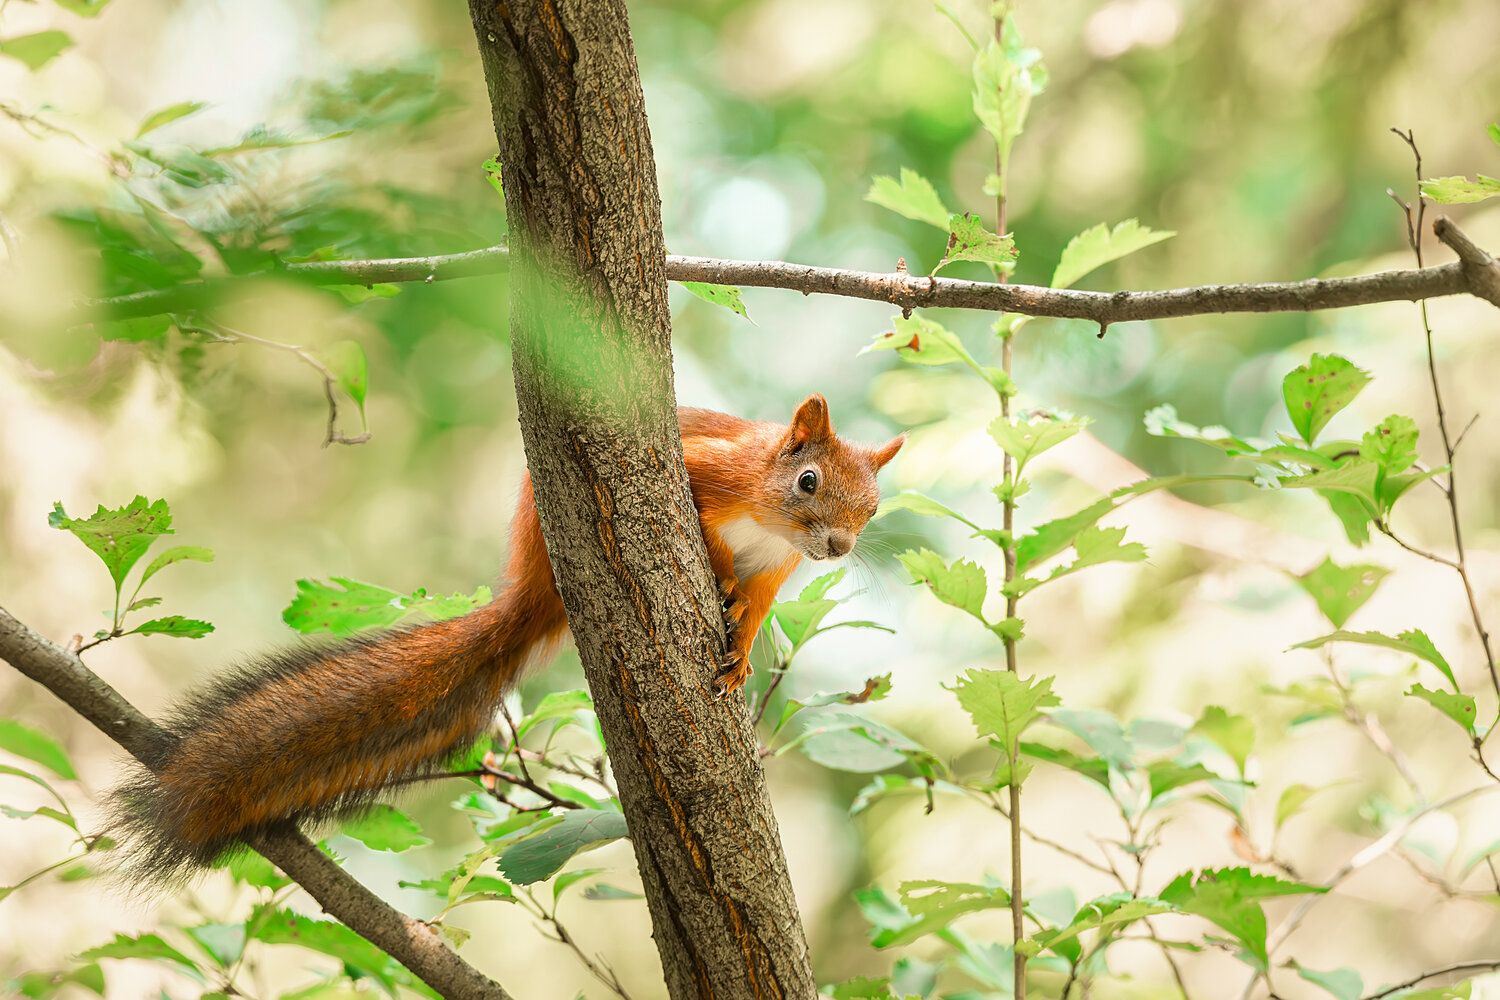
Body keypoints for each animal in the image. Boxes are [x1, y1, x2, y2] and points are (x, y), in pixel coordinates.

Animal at [110, 393, 903, 881]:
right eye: (808, 481)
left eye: (872, 508)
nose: (837, 546)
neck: (771, 526)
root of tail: (529, 592)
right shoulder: (709, 468)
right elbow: (706, 526)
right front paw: (717, 567)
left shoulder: (778, 570)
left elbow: (759, 608)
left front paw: (738, 656)